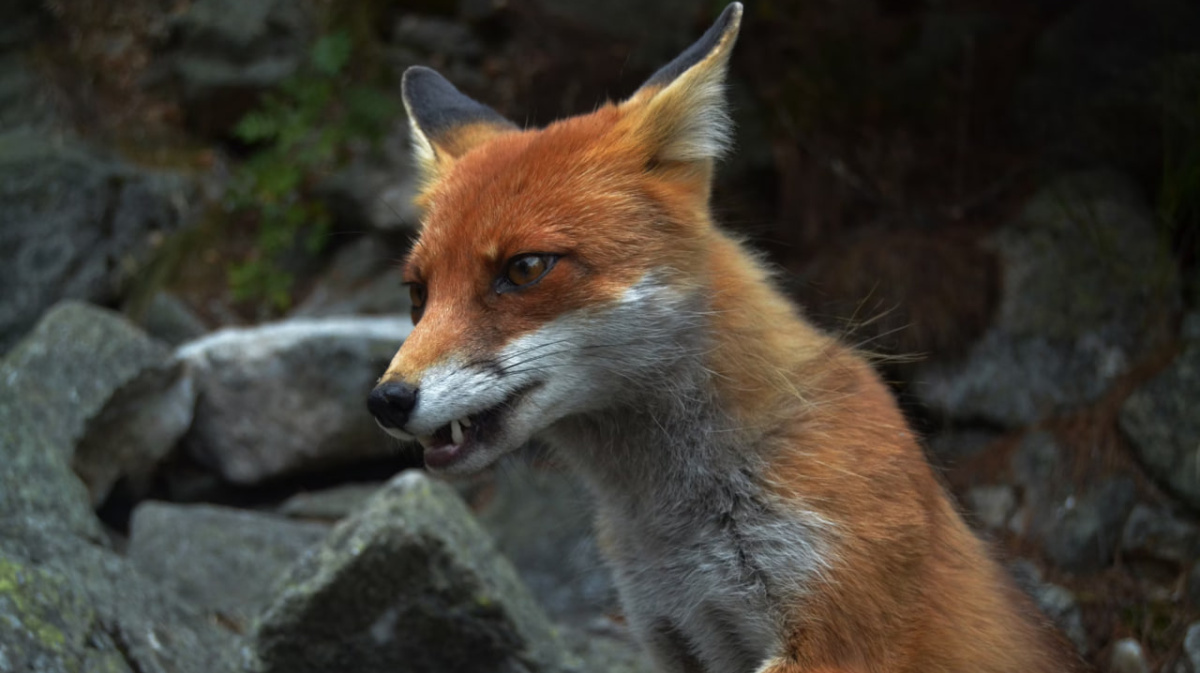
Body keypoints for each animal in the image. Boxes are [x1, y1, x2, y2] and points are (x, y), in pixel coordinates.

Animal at [367, 2, 1089, 667]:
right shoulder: (670, 630)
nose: (385, 400)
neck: (675, 527)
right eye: (418, 293)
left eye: (524, 269)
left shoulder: (836, 626)